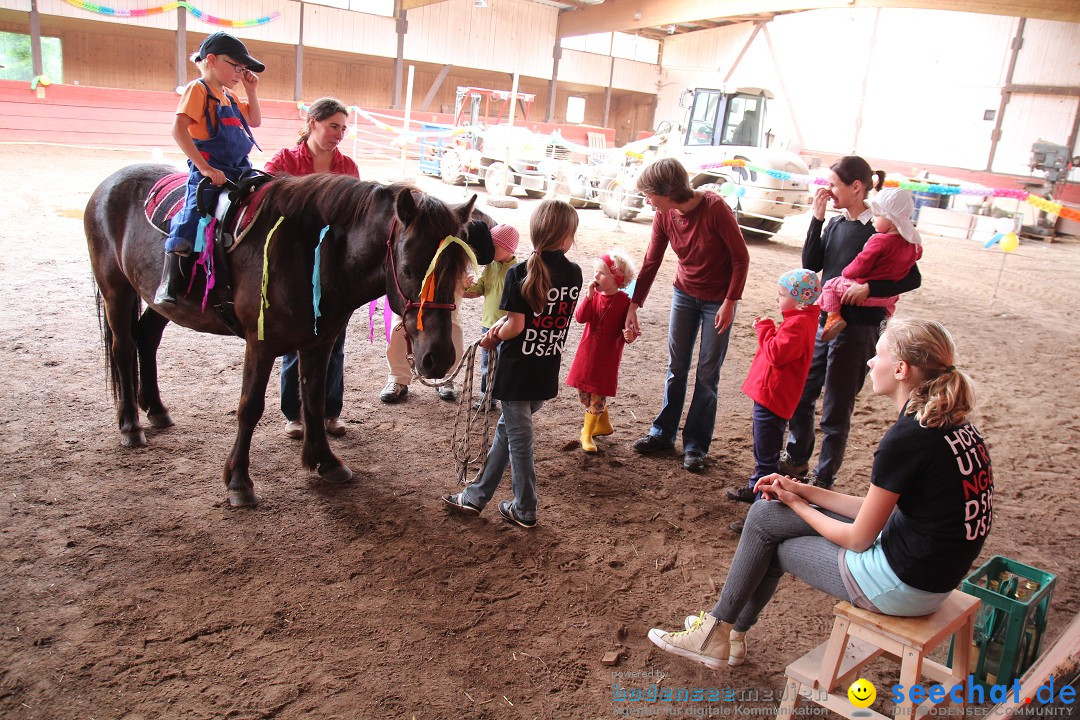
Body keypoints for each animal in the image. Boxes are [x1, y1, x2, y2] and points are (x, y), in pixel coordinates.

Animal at [84, 167, 473, 507]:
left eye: (458, 270)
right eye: (407, 269)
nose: (439, 357)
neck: (313, 253)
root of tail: (110, 183)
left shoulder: (319, 342)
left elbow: (313, 400)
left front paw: (325, 461)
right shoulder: (261, 345)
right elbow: (250, 408)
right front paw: (239, 481)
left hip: (159, 301)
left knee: (147, 339)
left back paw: (156, 409)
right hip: (117, 291)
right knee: (123, 348)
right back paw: (131, 425)